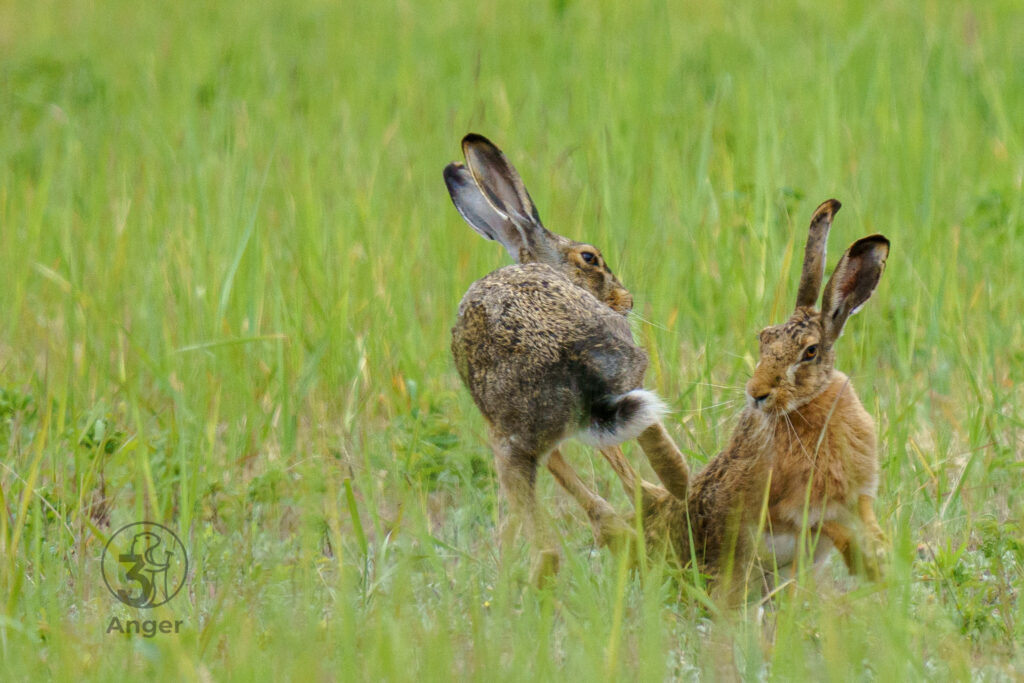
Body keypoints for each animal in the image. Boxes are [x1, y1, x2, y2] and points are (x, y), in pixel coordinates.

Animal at [444, 133, 689, 585]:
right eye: (589, 258)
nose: (626, 300)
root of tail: (570, 354)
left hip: (510, 442)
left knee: (548, 548)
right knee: (653, 440)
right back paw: (670, 495)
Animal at [551, 199, 890, 603]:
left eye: (810, 352)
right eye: (764, 339)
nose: (757, 393)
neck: (805, 408)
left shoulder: (855, 496)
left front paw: (878, 553)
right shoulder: (786, 509)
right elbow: (824, 525)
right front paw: (868, 562)